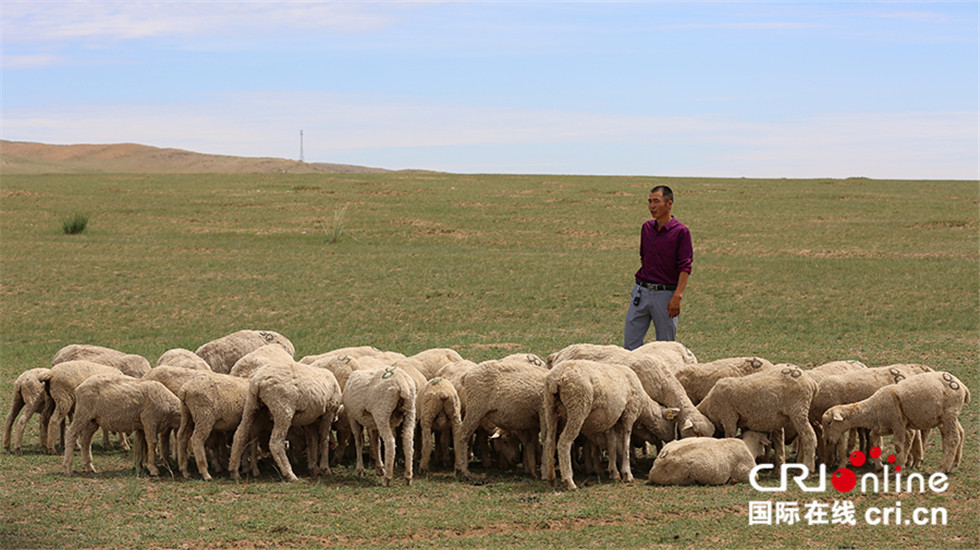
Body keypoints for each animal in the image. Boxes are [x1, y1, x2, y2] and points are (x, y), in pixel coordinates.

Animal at [540, 362, 676, 492]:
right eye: (670, 423)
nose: (673, 439)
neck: (643, 404)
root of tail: (556, 378)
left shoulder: (613, 420)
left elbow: (612, 444)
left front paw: (614, 473)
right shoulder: (629, 414)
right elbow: (626, 444)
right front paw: (627, 474)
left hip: (550, 407)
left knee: (549, 441)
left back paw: (551, 478)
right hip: (577, 407)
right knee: (564, 442)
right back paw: (569, 481)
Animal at [824, 370, 968, 474]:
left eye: (829, 423)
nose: (827, 441)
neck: (873, 408)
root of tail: (962, 386)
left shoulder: (898, 424)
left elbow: (899, 446)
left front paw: (899, 467)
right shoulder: (878, 428)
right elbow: (875, 444)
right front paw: (879, 466)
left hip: (949, 413)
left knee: (952, 439)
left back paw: (942, 468)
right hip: (947, 417)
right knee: (960, 434)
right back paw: (953, 465)